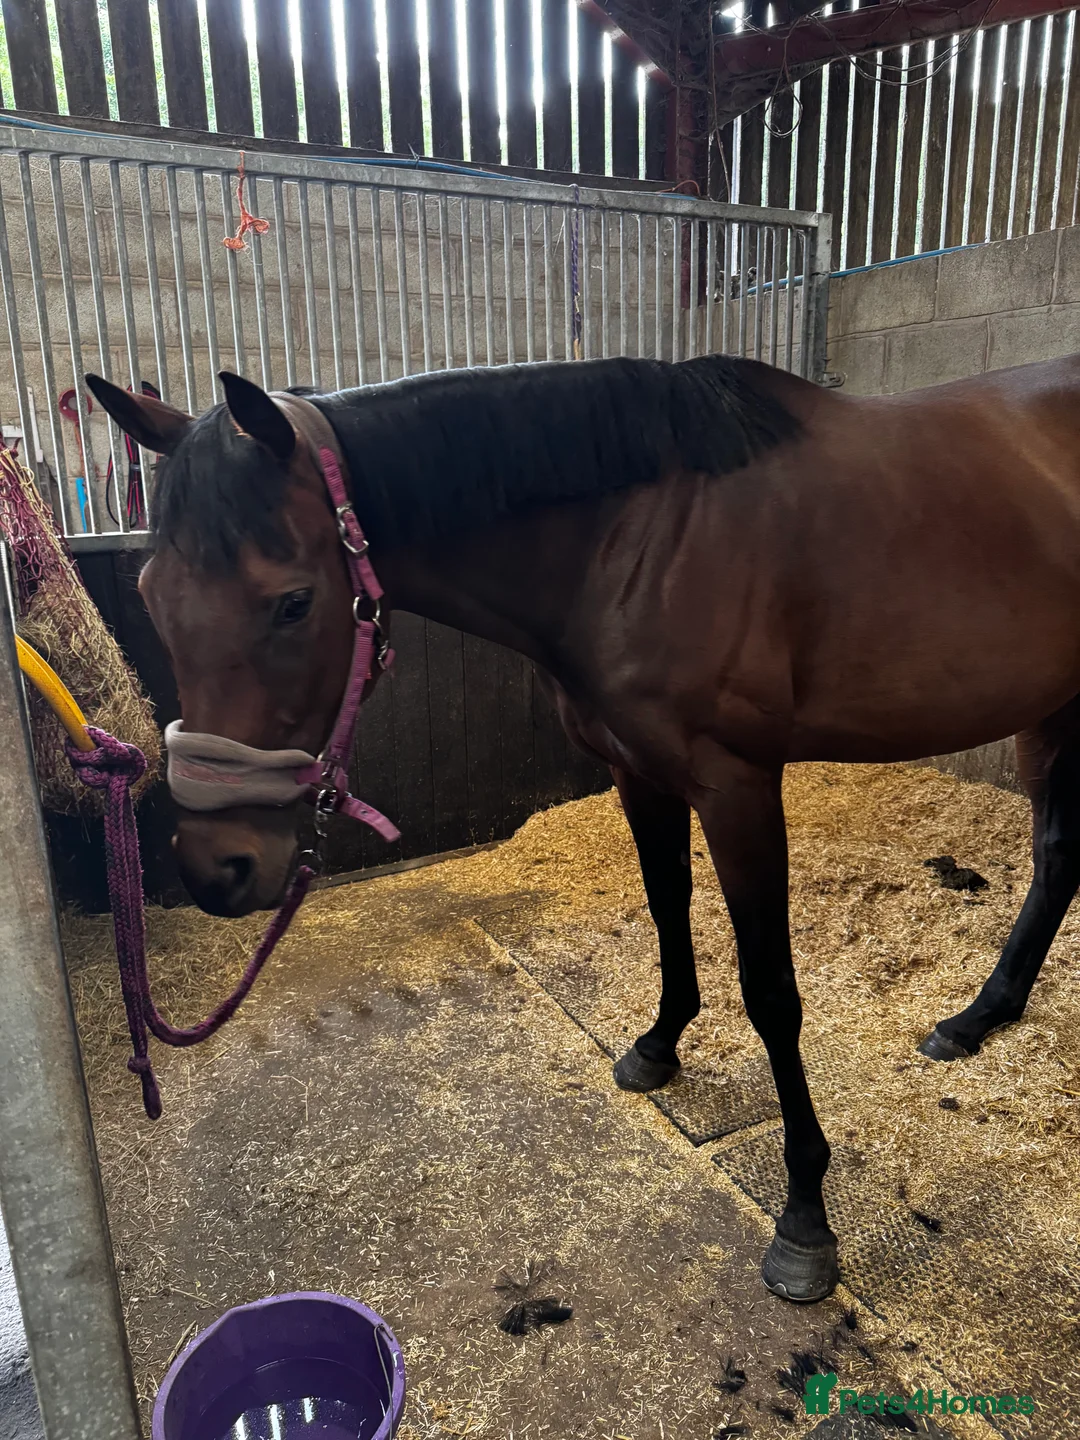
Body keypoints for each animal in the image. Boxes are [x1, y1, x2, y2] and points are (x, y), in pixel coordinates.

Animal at [86, 350, 1080, 1305]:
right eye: (151, 593)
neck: (637, 538)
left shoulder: (738, 785)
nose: (216, 867)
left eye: (292, 602)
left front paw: (805, 1218)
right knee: (1057, 858)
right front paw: (658, 1046)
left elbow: (771, 993)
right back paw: (976, 1018)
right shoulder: (637, 771)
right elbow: (668, 911)